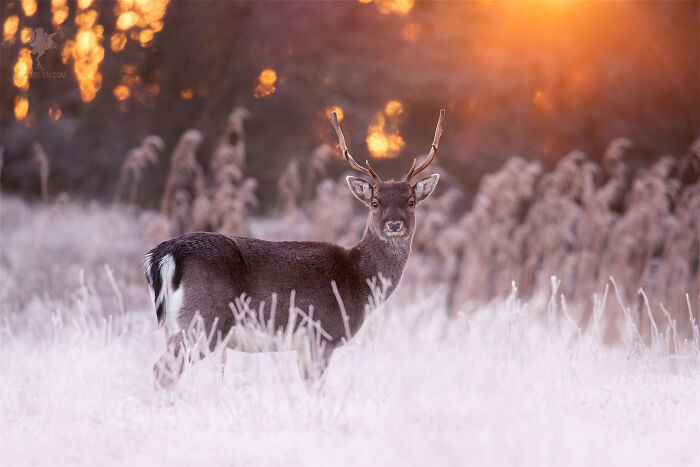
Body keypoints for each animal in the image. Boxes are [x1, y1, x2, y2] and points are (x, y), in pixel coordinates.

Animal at [144, 109, 445, 388]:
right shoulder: (321, 332)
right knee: (163, 371)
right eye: (374, 202)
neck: (358, 282)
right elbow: (317, 390)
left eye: (411, 202)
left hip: (179, 324)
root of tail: (166, 252)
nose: (394, 224)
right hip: (203, 319)